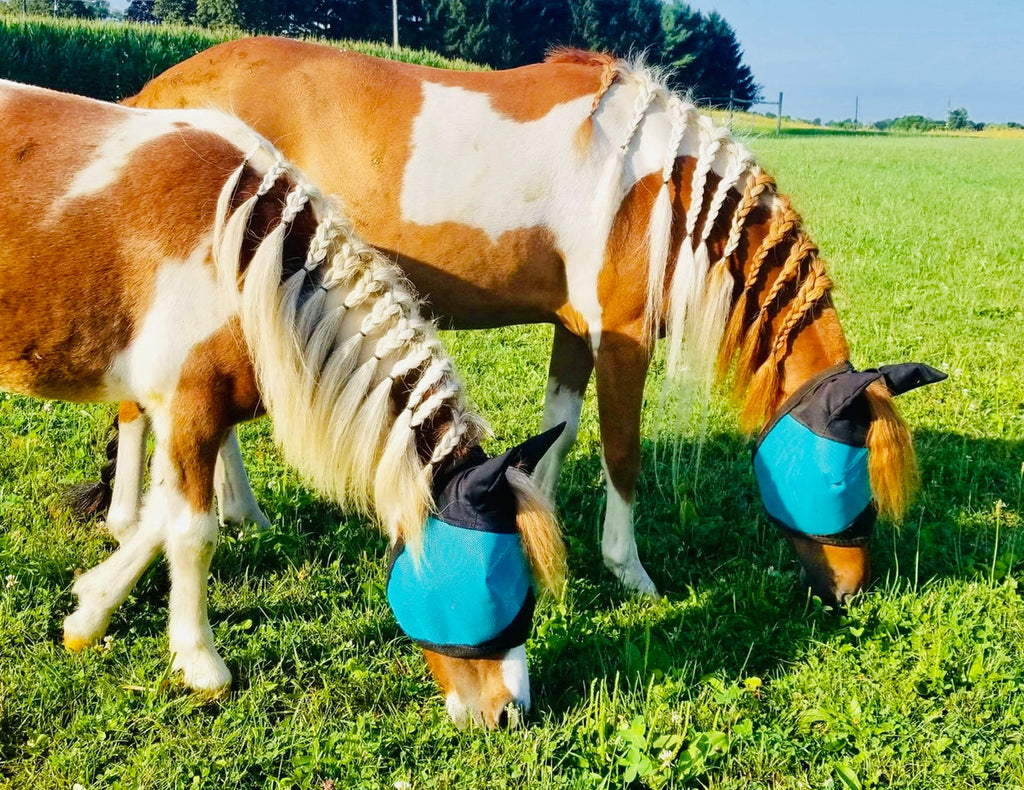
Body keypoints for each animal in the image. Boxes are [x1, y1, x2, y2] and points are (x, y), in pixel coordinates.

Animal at [0, 78, 566, 729]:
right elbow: (190, 530)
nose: (511, 713)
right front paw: (201, 663)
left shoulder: (196, 405)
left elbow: (165, 509)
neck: (242, 247)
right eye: (494, 582)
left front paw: (88, 610)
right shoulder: (190, 404)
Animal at [116, 38, 939, 604]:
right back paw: (128, 522)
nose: (852, 589)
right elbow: (620, 452)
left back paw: (240, 512)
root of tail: (158, 90)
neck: (661, 184)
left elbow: (561, 432)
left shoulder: (576, 329)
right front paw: (628, 570)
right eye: (846, 480)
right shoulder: (621, 338)